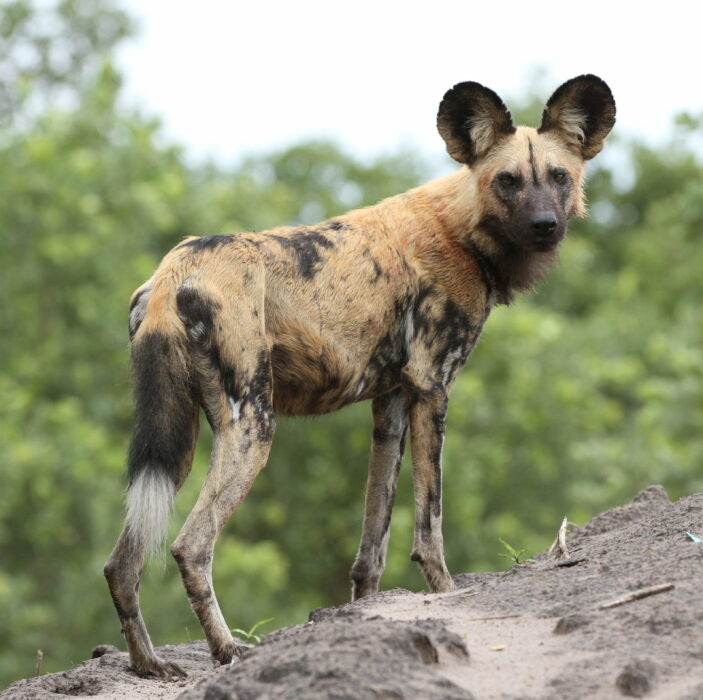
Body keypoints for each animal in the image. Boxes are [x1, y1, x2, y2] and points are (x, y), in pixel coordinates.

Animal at [104, 74, 616, 676]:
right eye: (507, 181)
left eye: (559, 176)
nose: (544, 226)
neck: (463, 228)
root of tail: (173, 271)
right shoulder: (431, 388)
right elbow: (429, 526)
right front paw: (446, 594)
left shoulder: (391, 405)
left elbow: (372, 545)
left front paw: (363, 616)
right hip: (252, 426)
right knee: (191, 545)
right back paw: (227, 650)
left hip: (176, 442)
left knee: (121, 562)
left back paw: (148, 664)